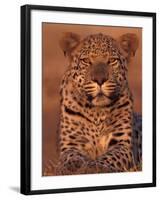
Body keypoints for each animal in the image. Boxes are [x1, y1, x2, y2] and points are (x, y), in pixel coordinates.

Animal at [44, 32, 142, 176]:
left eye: (112, 60)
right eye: (86, 61)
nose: (100, 79)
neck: (97, 112)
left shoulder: (122, 144)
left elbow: (111, 156)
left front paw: (94, 166)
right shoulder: (71, 143)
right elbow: (71, 156)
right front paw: (72, 167)